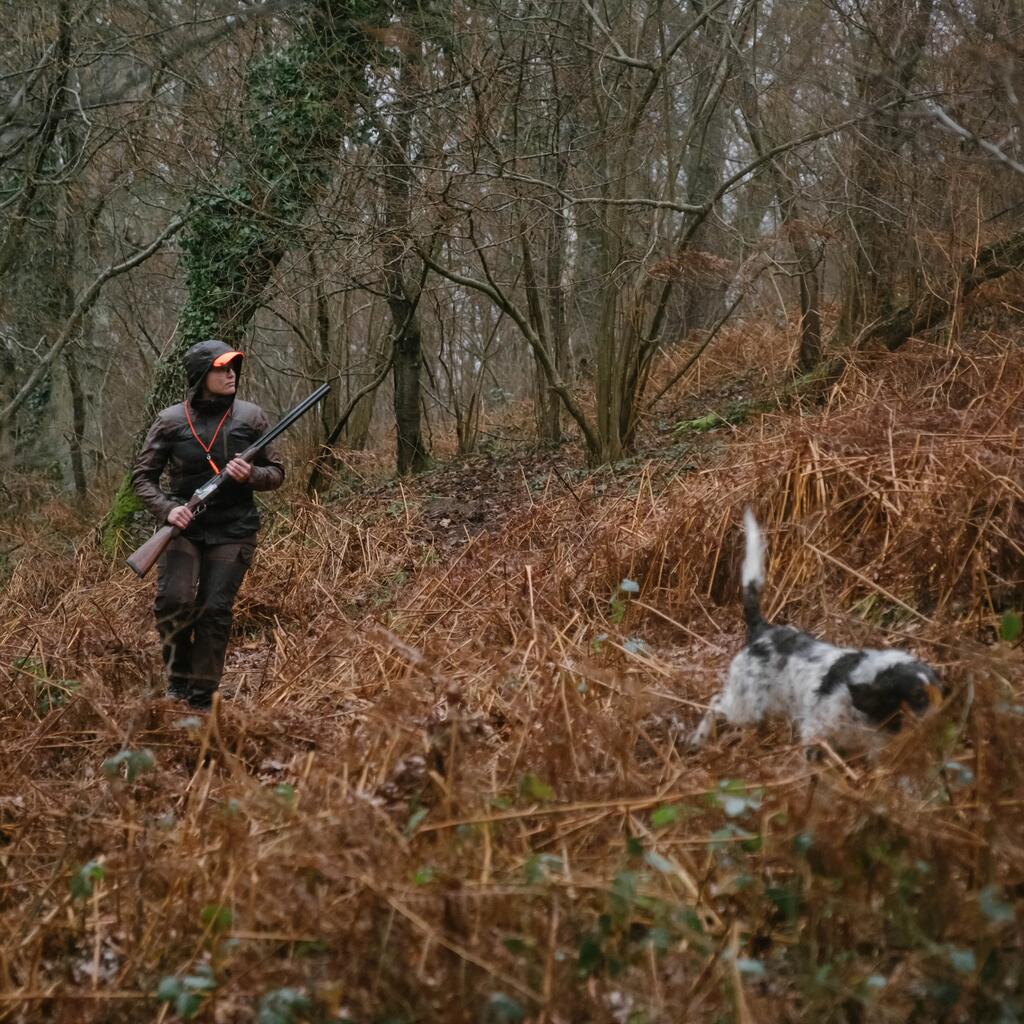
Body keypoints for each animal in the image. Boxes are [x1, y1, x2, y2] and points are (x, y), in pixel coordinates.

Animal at [692, 509, 937, 745]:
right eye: (918, 696)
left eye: (941, 690)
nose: (942, 719)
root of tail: (763, 630)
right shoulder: (816, 731)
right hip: (746, 709)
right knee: (716, 703)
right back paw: (698, 738)